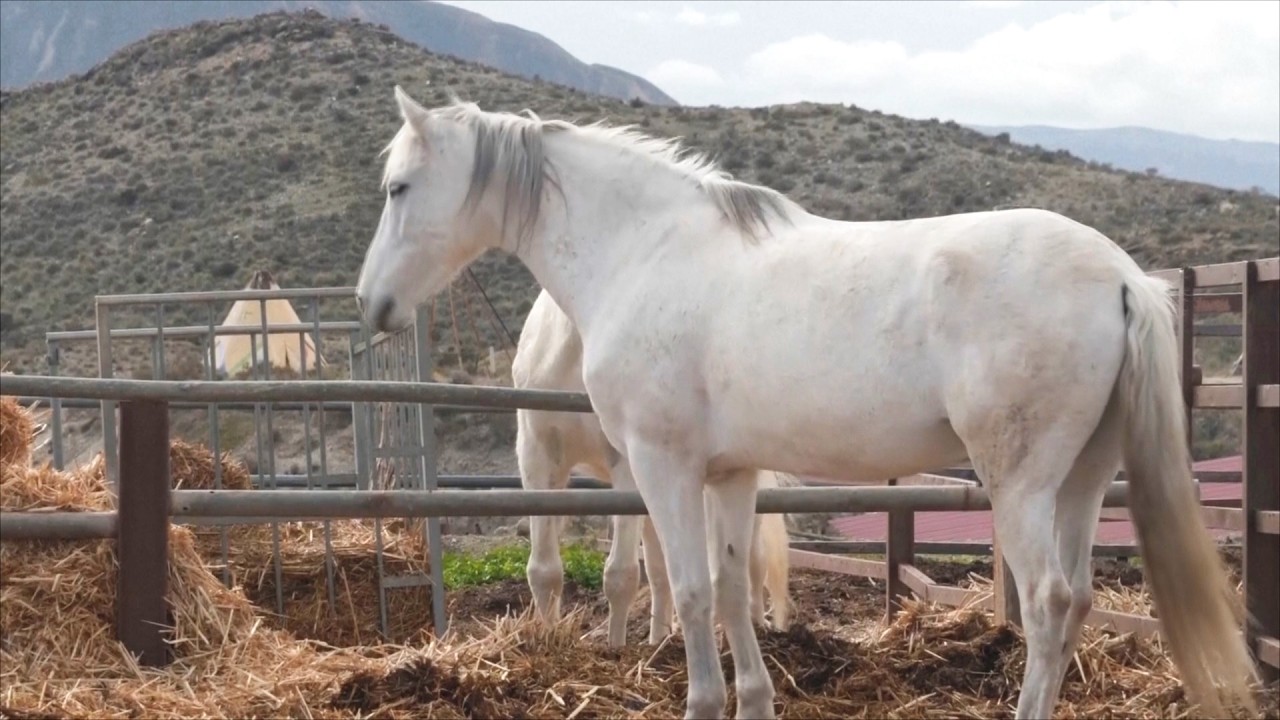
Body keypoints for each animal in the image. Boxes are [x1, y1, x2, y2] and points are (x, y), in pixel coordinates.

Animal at [512, 287, 793, 648]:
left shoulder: (628, 464)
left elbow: (620, 575)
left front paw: (615, 649)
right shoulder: (538, 455)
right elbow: (544, 571)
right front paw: (548, 638)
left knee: (753, 563)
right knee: (665, 571)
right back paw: (660, 637)